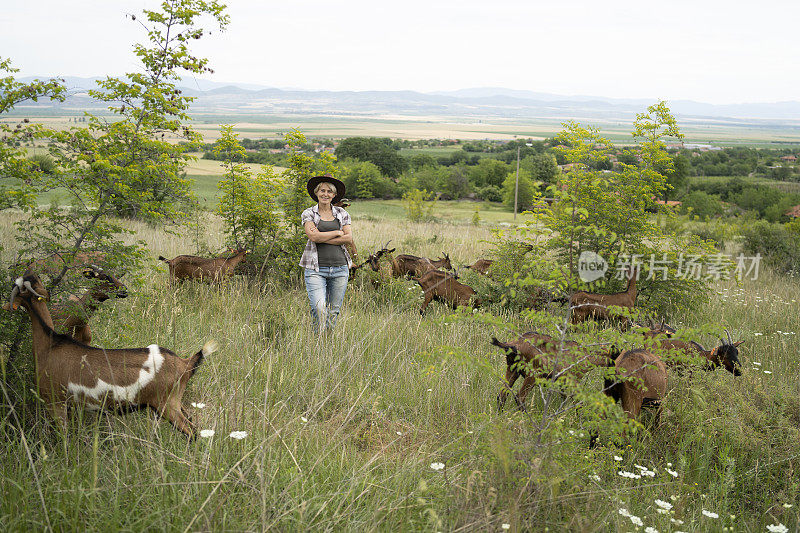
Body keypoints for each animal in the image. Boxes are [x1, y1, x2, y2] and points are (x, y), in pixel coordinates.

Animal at [3, 272, 216, 438]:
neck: (49, 343)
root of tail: (185, 363)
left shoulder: (55, 402)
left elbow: (63, 438)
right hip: (177, 403)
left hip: (167, 405)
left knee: (192, 432)